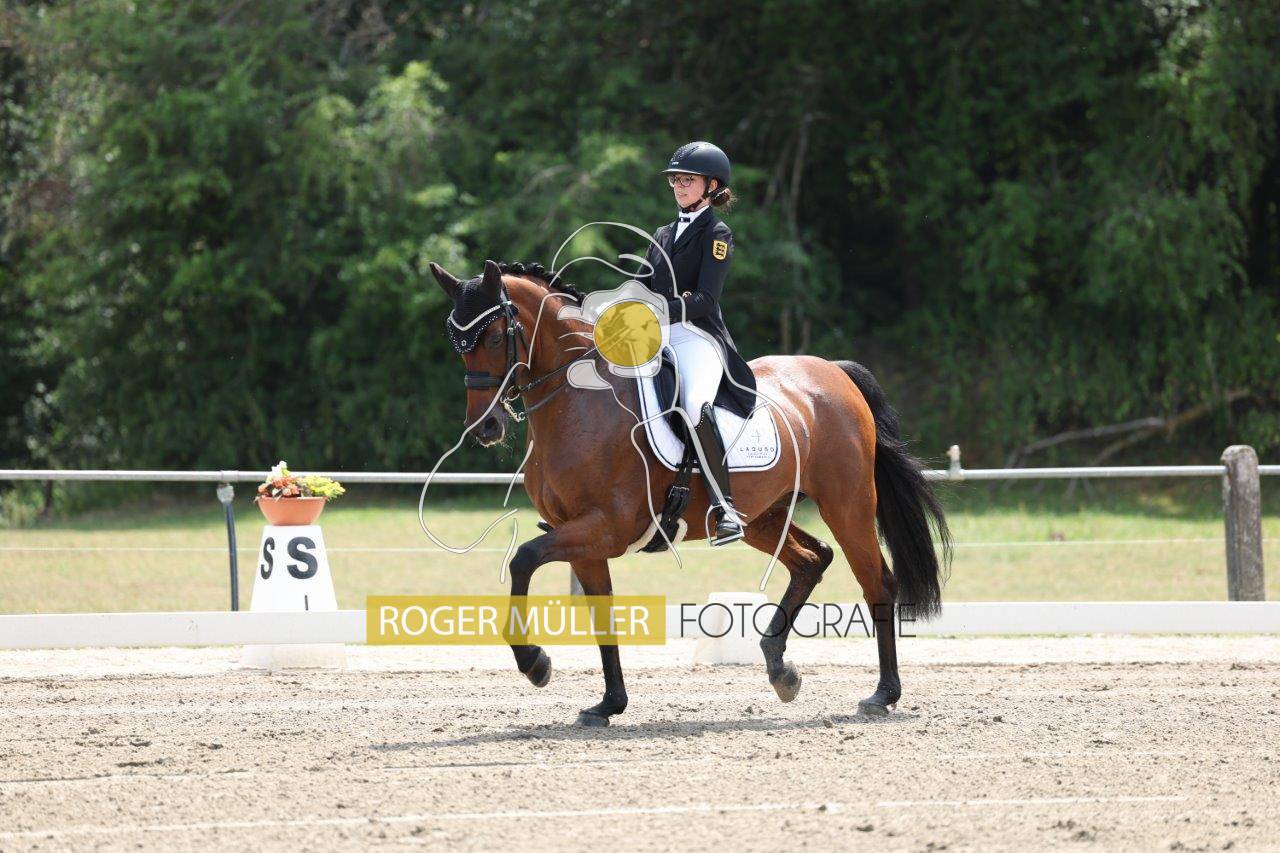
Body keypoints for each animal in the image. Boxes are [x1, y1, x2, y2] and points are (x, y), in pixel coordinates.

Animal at [429, 258, 950, 726]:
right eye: (457, 344)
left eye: (496, 338)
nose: (485, 427)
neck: (578, 401)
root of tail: (834, 373)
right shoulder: (583, 537)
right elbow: (602, 614)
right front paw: (608, 704)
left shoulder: (605, 528)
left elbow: (522, 560)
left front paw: (535, 663)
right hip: (762, 515)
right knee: (812, 559)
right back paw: (780, 669)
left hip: (848, 504)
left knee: (877, 582)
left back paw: (882, 694)